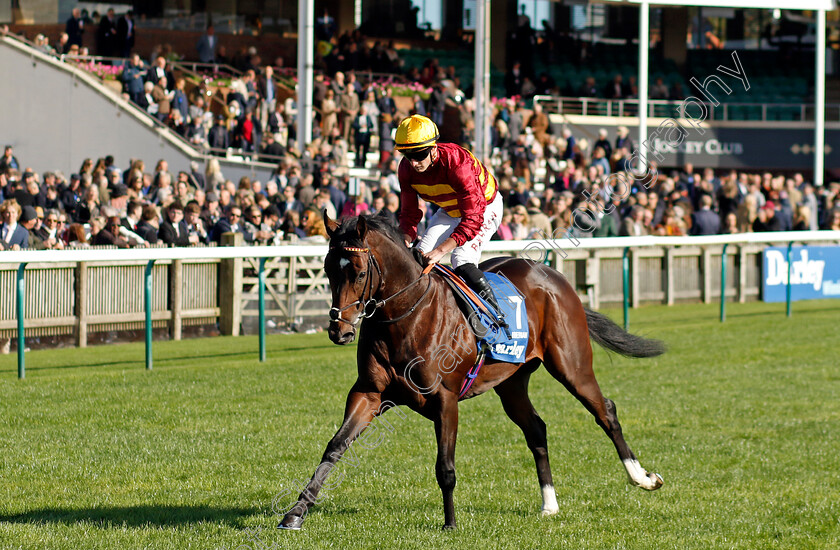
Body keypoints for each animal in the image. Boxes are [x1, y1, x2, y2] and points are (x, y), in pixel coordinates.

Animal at [278, 213, 668, 532]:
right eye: (328, 269)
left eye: (359, 272)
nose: (339, 331)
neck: (407, 315)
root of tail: (552, 274)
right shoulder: (368, 393)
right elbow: (334, 447)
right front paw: (295, 513)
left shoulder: (445, 400)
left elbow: (445, 467)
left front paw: (450, 523)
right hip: (512, 382)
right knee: (536, 429)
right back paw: (549, 504)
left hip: (572, 365)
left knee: (606, 411)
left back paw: (642, 478)